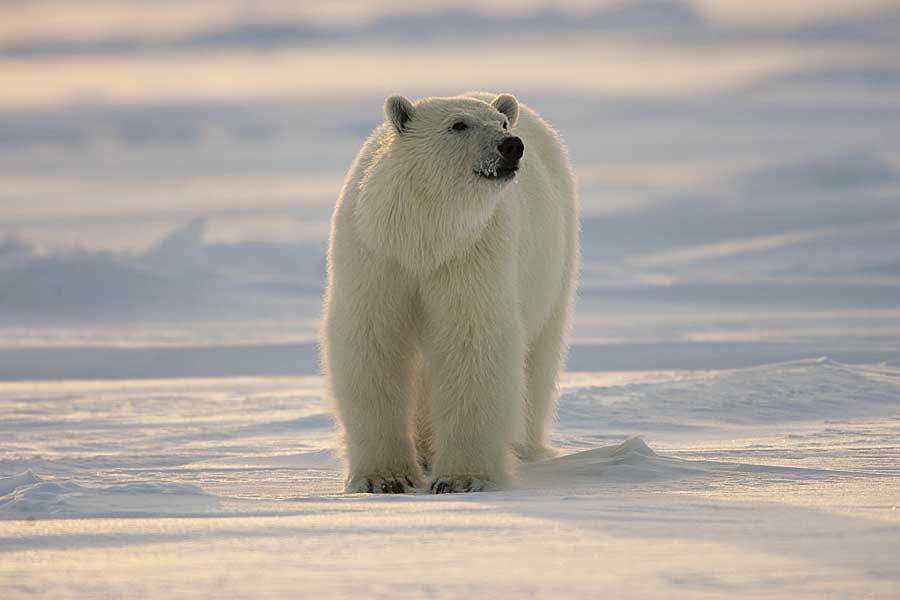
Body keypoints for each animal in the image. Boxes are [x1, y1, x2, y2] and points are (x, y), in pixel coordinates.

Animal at [322, 92, 576, 492]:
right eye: (458, 124)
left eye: (502, 124)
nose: (511, 146)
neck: (424, 237)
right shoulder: (376, 254)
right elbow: (373, 344)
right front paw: (385, 479)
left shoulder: (471, 254)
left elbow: (472, 342)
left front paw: (462, 479)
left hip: (554, 258)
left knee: (539, 357)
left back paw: (522, 447)